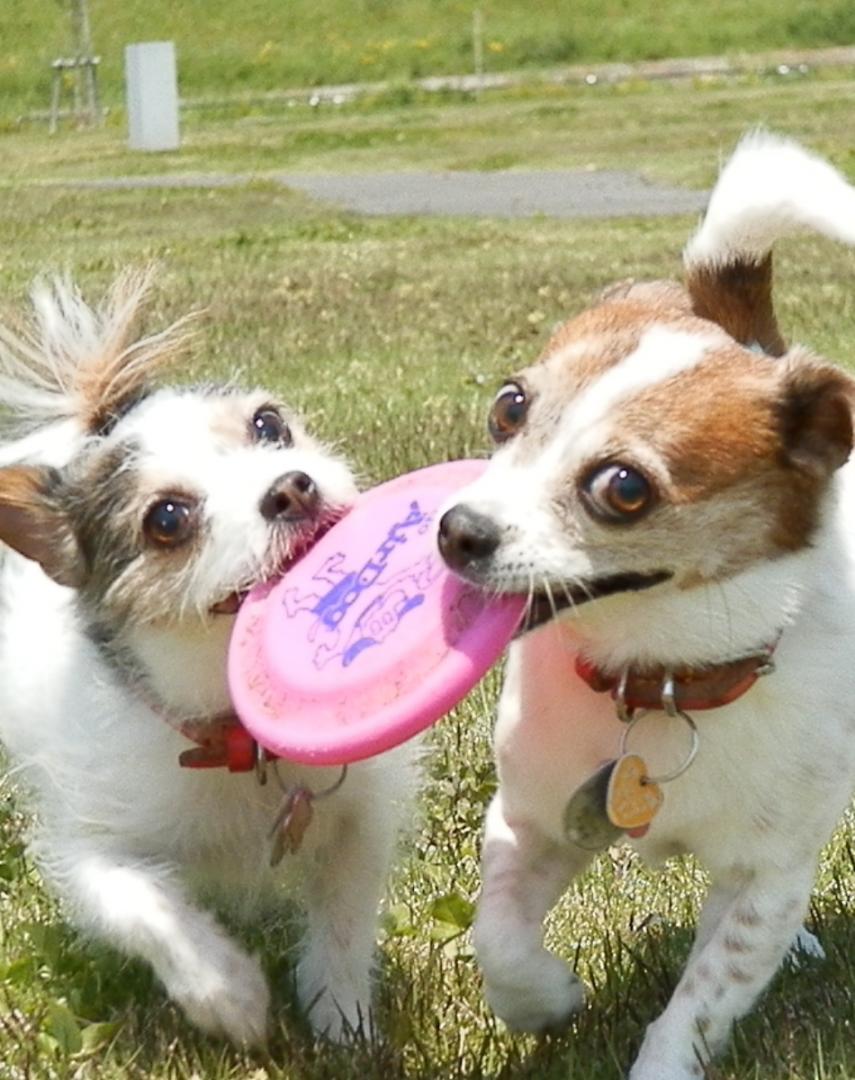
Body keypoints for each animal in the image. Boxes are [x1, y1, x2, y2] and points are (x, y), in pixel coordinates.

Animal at [438, 135, 855, 1080]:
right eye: (508, 405)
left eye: (622, 488)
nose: (455, 530)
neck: (658, 677)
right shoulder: (529, 821)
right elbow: (497, 939)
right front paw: (547, 999)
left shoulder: (764, 879)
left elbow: (699, 1004)